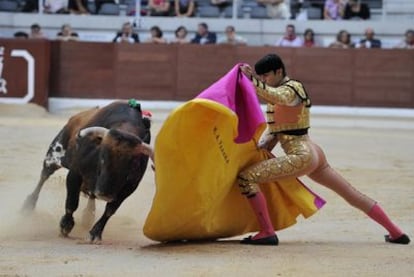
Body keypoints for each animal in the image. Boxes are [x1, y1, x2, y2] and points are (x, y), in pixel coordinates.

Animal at [21, 99, 154, 242]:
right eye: (102, 157)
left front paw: (95, 233)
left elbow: (110, 210)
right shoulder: (75, 173)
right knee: (44, 176)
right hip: (54, 153)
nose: (105, 194)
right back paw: (27, 206)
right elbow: (72, 201)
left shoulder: (129, 188)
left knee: (91, 195)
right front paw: (66, 226)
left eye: (133, 164)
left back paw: (88, 216)